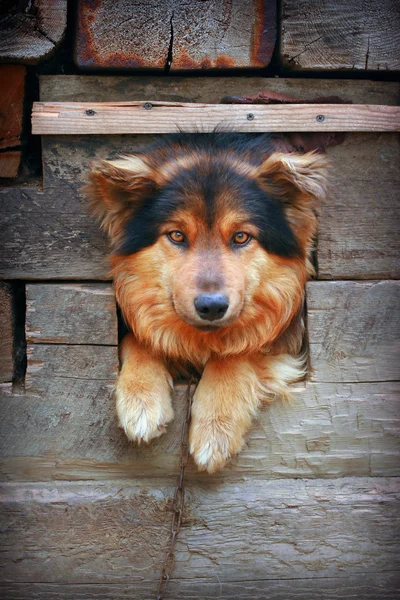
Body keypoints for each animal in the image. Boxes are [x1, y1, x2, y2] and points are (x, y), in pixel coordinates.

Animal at [86, 132, 328, 474]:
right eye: (176, 235)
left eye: (241, 237)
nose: (212, 307)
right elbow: (139, 337)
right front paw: (141, 399)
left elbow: (238, 350)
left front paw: (216, 426)